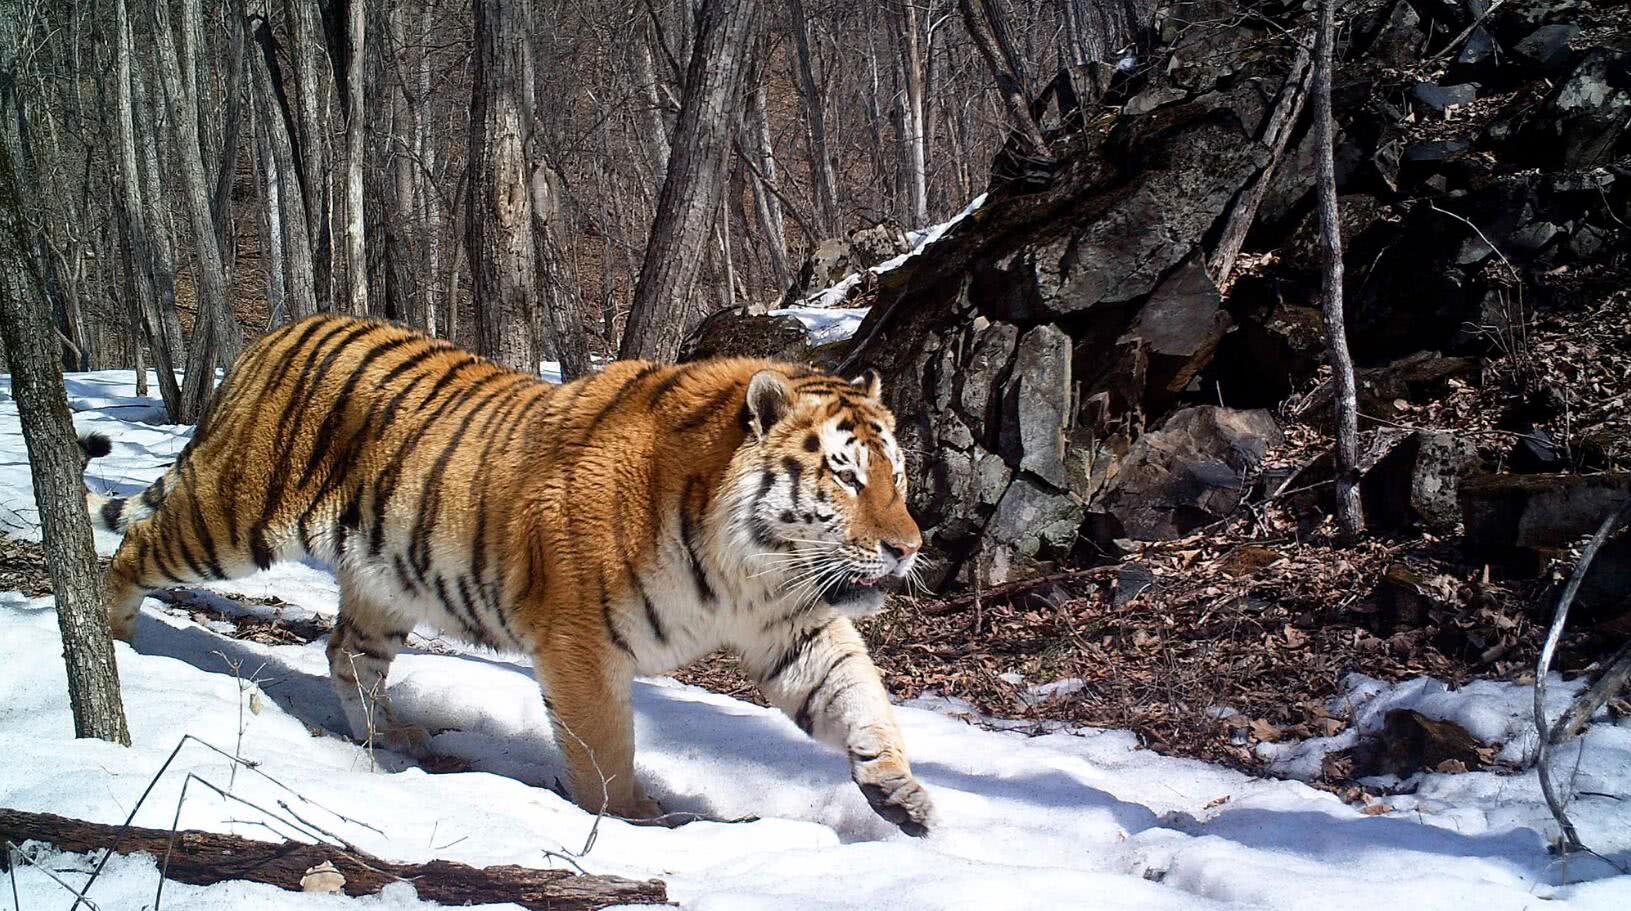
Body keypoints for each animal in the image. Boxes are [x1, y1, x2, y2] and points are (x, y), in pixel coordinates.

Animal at [79, 311, 945, 834]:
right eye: (844, 476)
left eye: (896, 474)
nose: (908, 546)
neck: (750, 565)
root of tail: (272, 333)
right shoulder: (580, 641)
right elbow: (604, 750)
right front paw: (635, 821)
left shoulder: (791, 623)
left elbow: (857, 697)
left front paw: (898, 790)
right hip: (233, 514)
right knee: (135, 546)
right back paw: (111, 638)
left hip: (384, 580)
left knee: (346, 652)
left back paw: (389, 738)